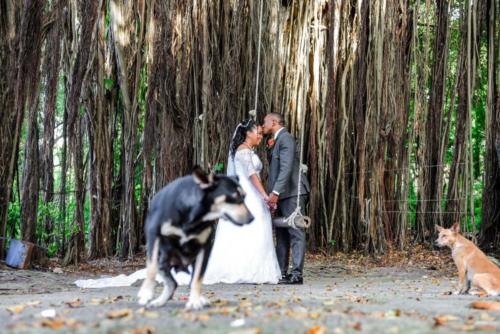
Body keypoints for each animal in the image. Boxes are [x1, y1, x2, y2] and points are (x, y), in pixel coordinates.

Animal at [138, 167, 252, 310]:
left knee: (180, 282)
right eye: (234, 197)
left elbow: (197, 278)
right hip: (163, 261)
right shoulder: (154, 235)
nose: (251, 218)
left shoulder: (205, 248)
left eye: (245, 196)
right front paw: (146, 293)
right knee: (171, 282)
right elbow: (151, 268)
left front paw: (195, 300)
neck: (194, 216)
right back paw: (158, 300)